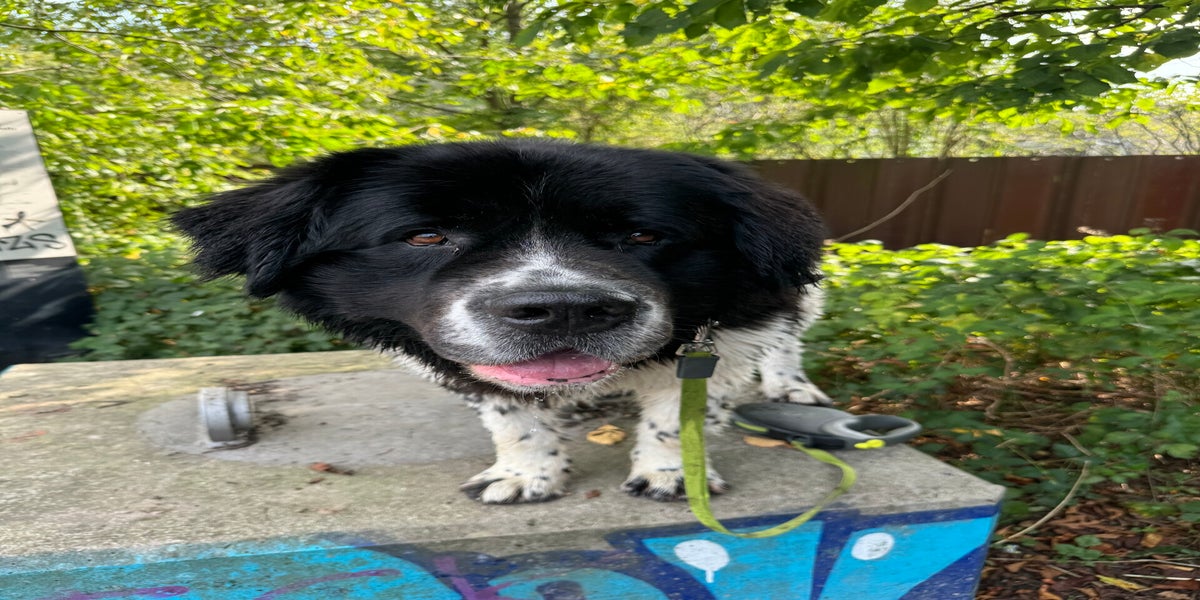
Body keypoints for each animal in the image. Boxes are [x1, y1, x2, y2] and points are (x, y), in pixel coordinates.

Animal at [172, 140, 831, 504]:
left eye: (644, 236)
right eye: (426, 236)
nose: (564, 308)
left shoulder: (735, 325)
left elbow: (676, 415)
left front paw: (668, 475)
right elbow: (513, 416)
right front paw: (526, 475)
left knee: (789, 342)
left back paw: (791, 387)